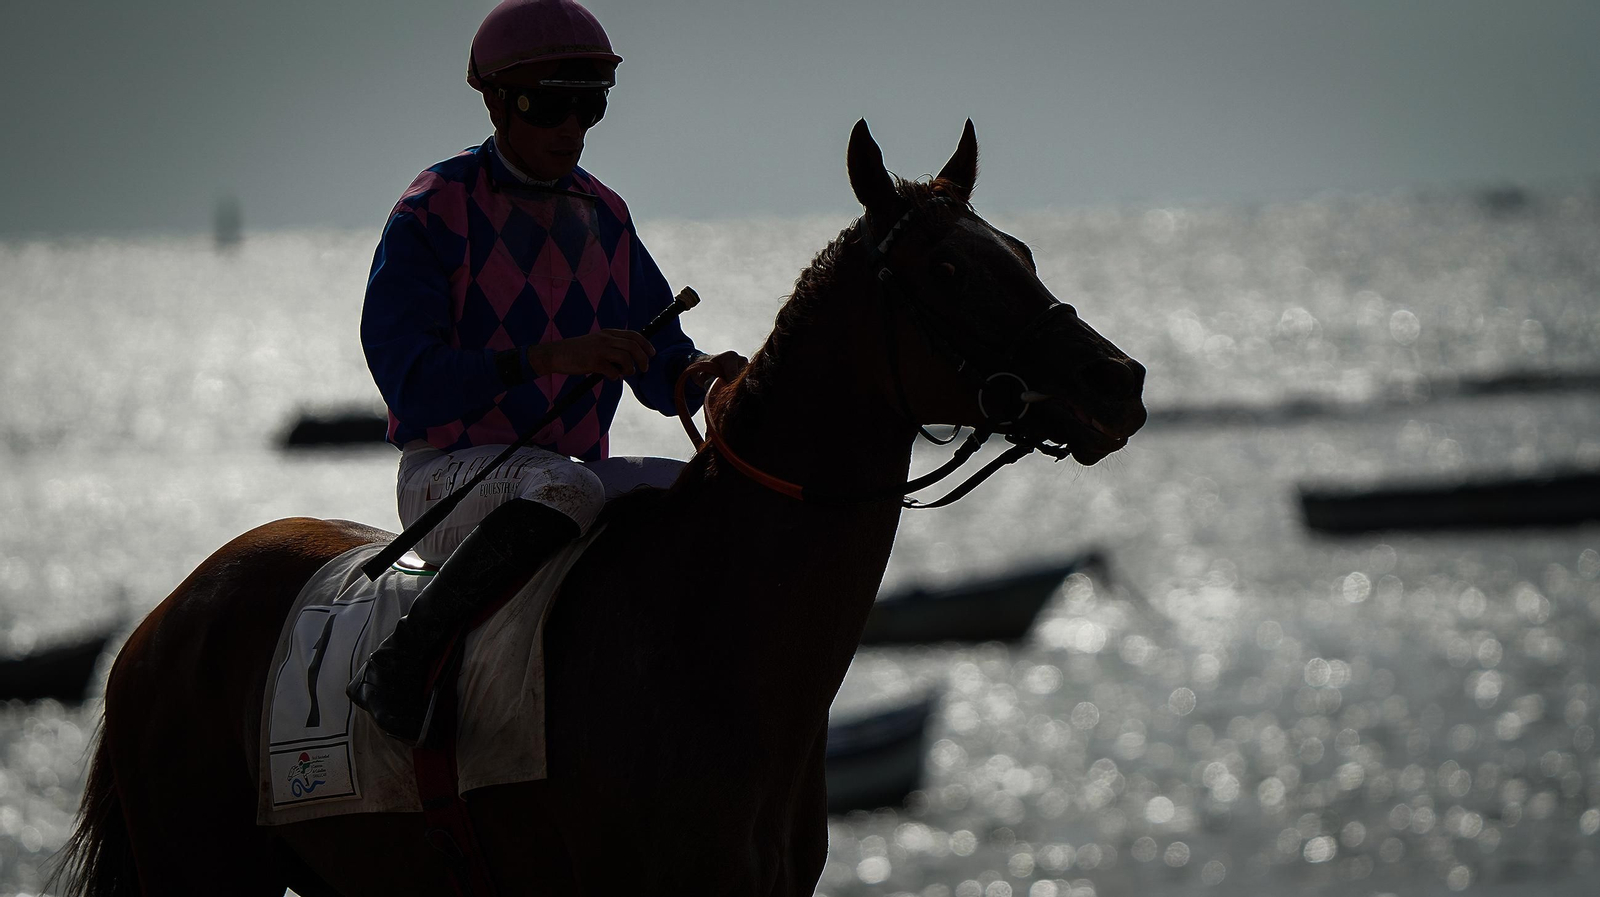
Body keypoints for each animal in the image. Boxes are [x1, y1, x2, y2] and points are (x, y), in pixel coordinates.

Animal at [56, 119, 1146, 896]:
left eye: (1023, 251)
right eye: (950, 269)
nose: (1121, 381)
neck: (710, 639)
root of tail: (165, 617)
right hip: (199, 869)